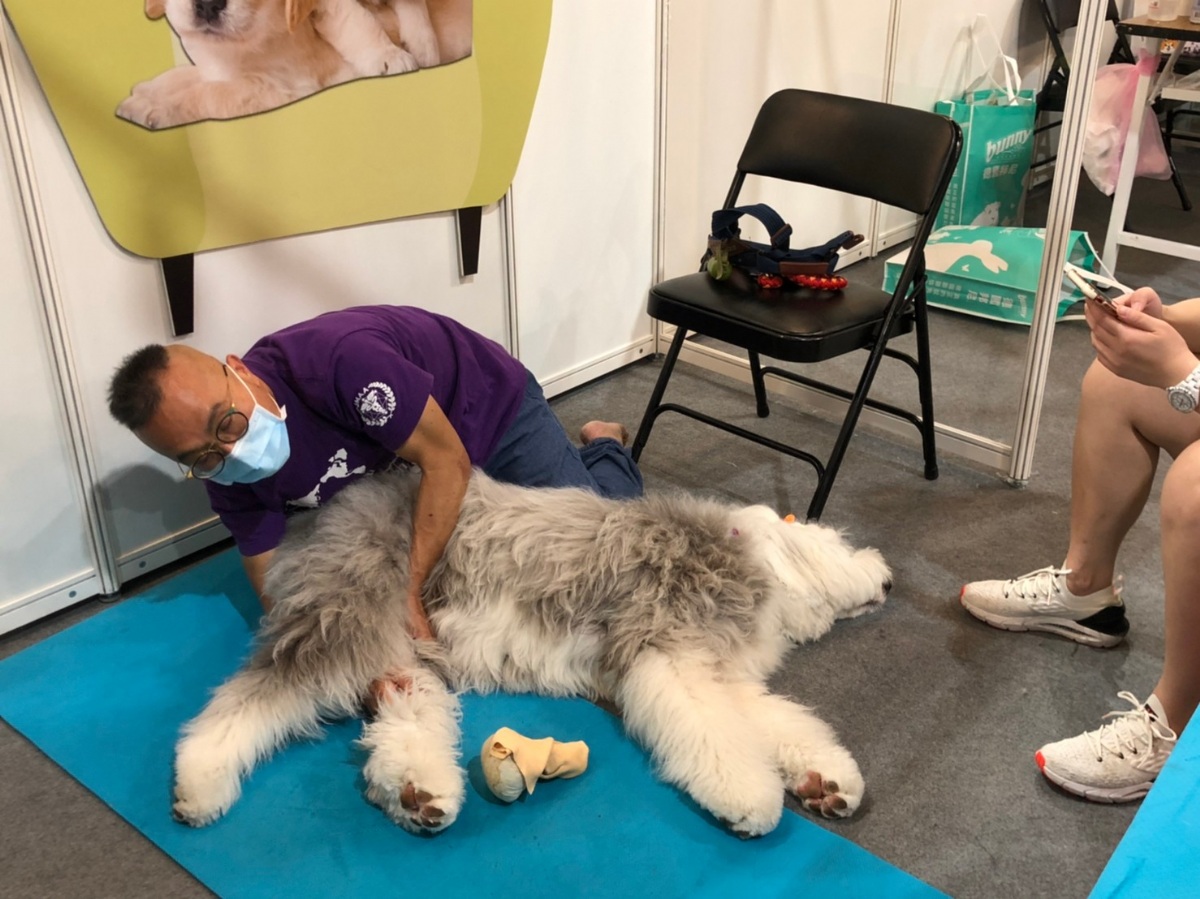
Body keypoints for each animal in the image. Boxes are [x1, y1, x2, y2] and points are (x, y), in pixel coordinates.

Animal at [116, 0, 455, 129]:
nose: (208, 4)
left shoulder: (283, 92)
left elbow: (213, 94)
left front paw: (154, 108)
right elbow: (188, 76)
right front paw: (148, 91)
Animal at [172, 470, 891, 837]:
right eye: (838, 539)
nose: (885, 578)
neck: (746, 563)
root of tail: (329, 507)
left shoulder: (724, 673)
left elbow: (781, 723)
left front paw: (825, 783)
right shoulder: (668, 656)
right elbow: (716, 733)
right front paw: (751, 799)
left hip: (404, 647)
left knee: (404, 714)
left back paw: (419, 792)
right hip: (342, 621)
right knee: (248, 699)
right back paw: (199, 783)